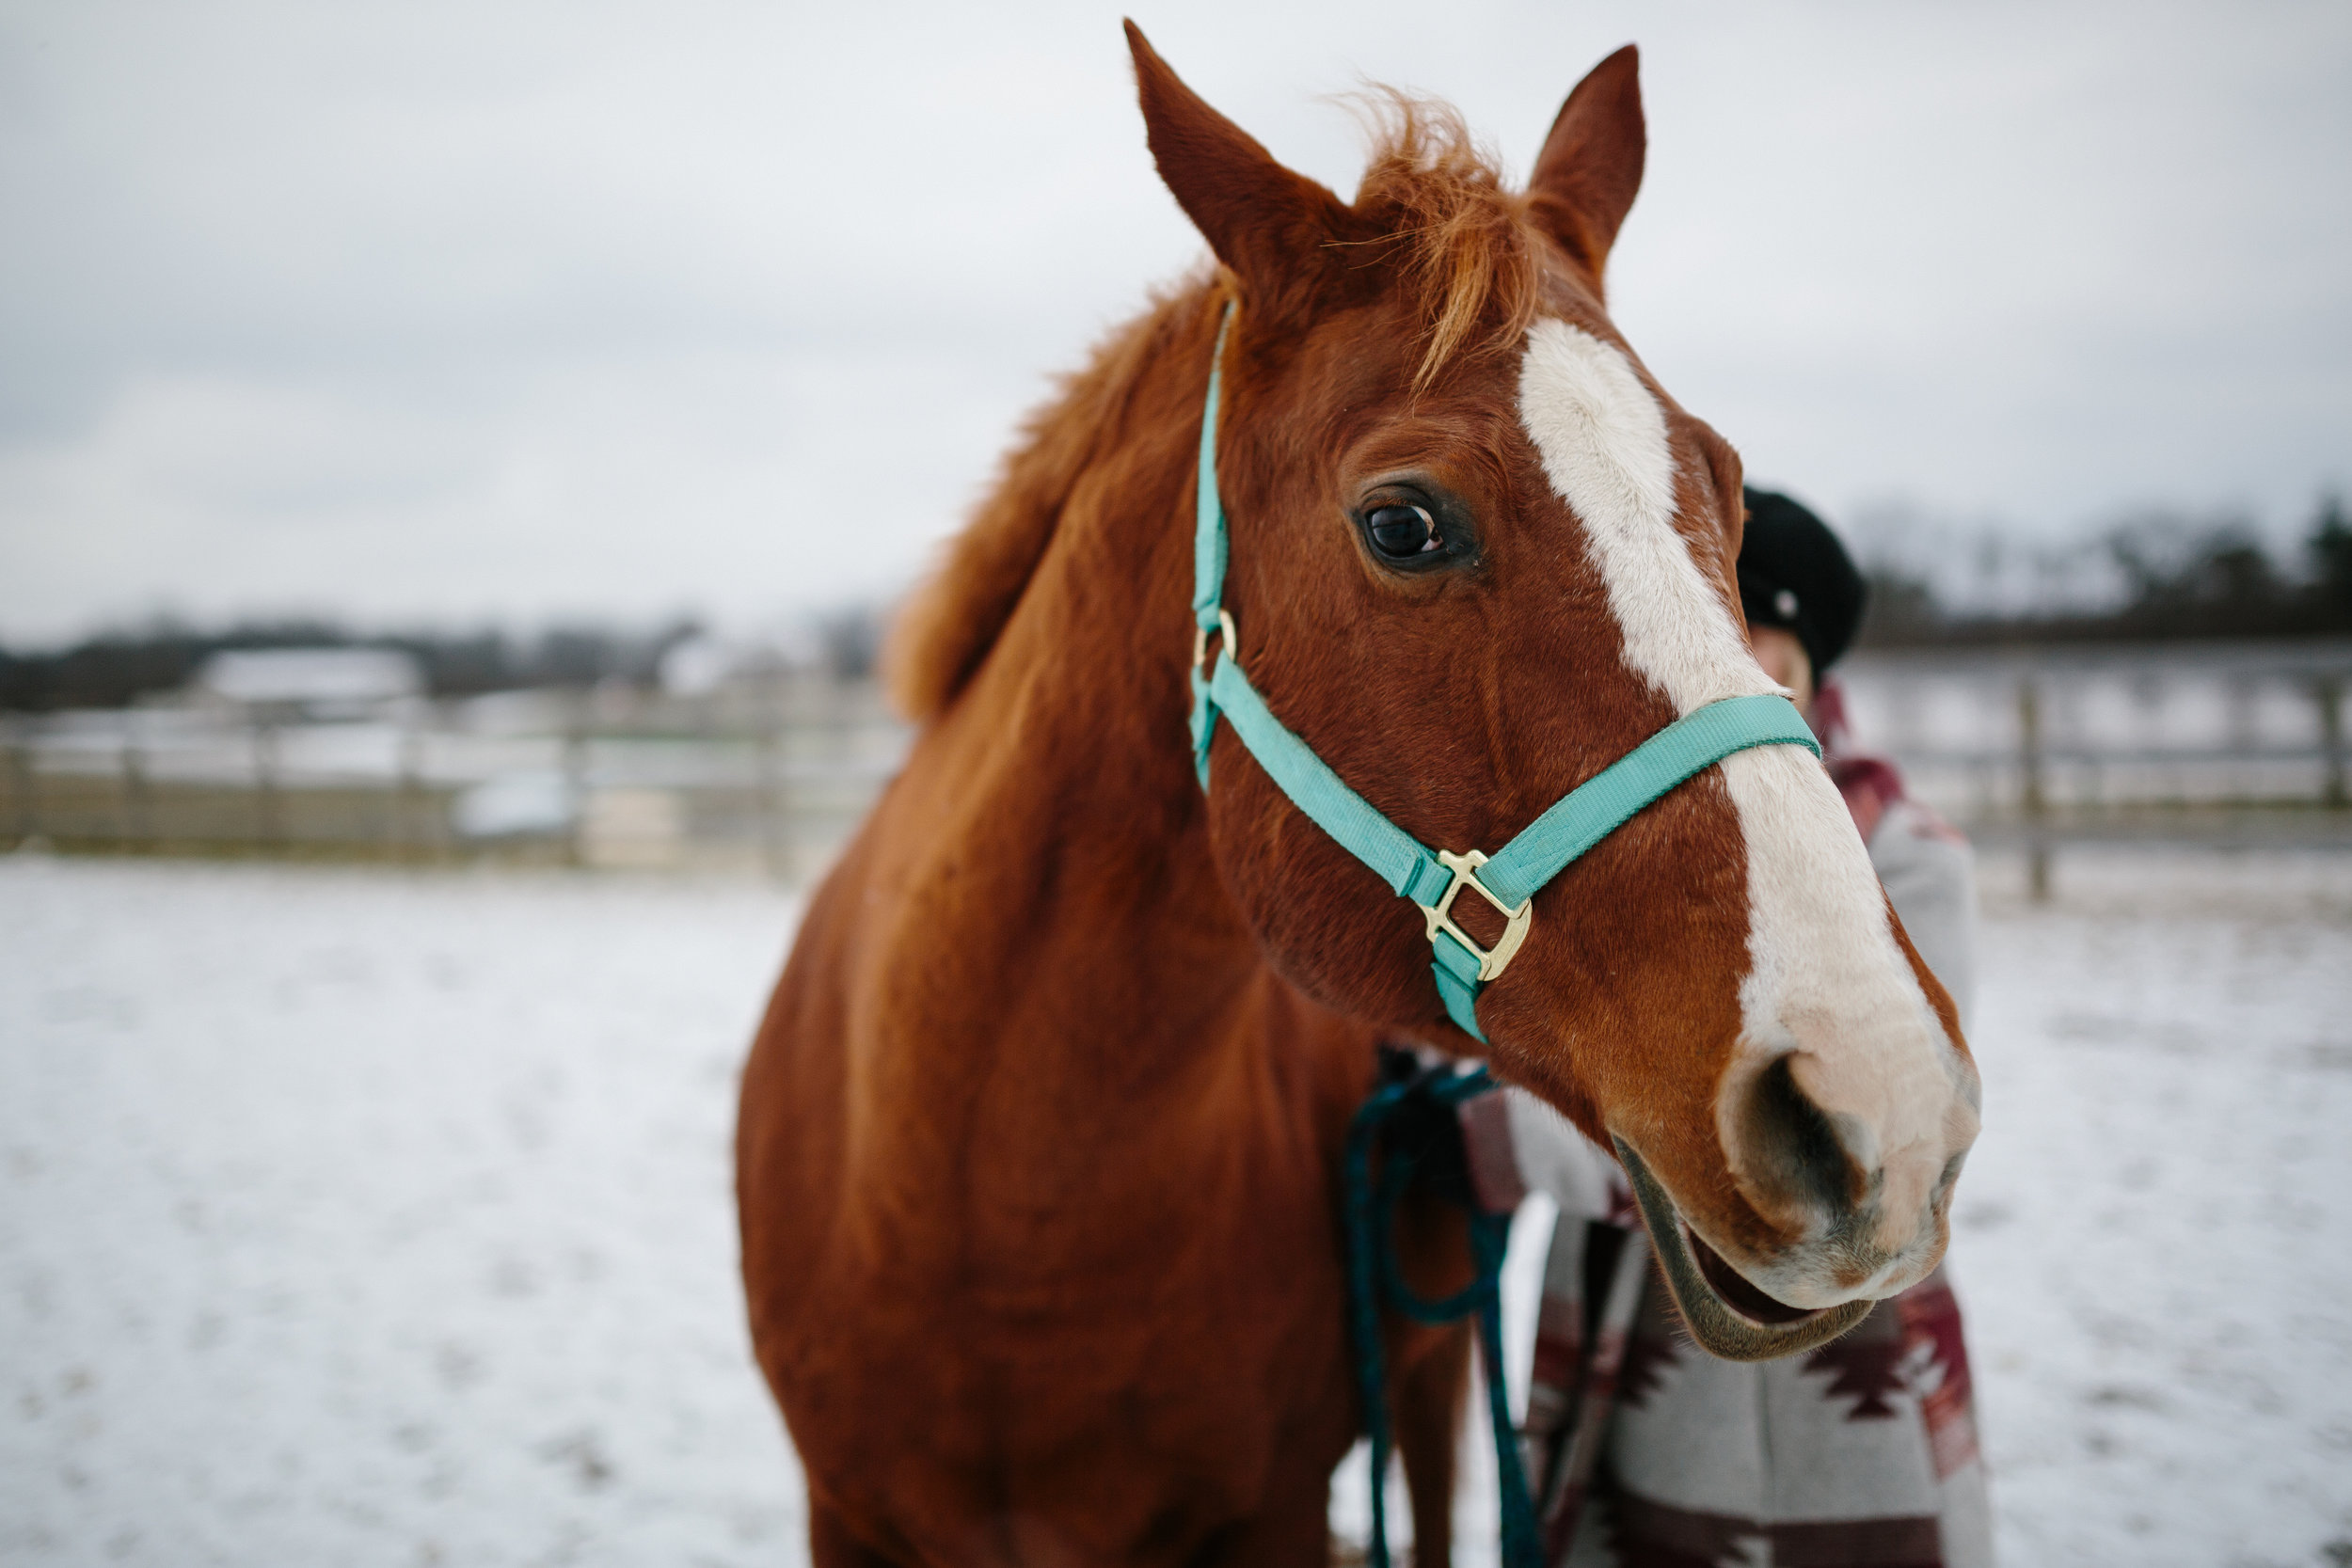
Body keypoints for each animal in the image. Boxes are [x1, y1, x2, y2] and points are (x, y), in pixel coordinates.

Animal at [729, 27, 1966, 1568]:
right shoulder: (845, 1511)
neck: (989, 1211)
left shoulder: (1273, 1508)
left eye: (1730, 490)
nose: (1880, 1095)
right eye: (1403, 523)